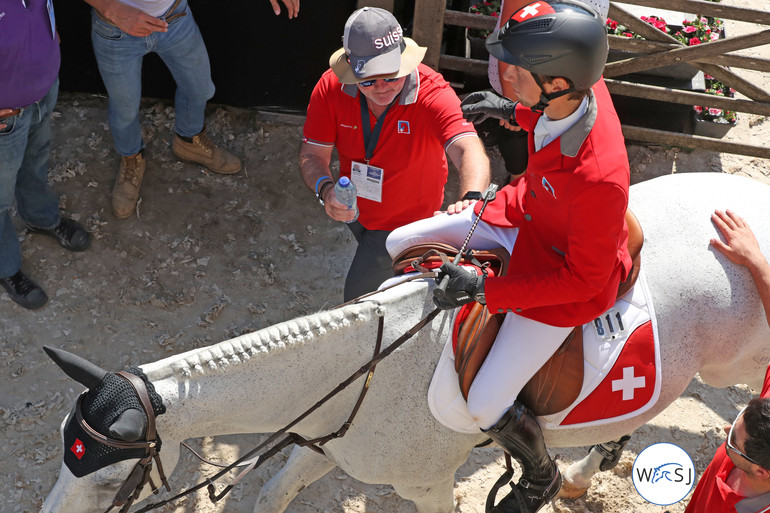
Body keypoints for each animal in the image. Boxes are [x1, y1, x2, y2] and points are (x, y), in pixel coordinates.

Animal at [40, 173, 768, 512]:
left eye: (109, 483)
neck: (367, 371)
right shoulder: (323, 446)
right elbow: (274, 494)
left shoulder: (428, 485)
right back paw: (586, 472)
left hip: (738, 361)